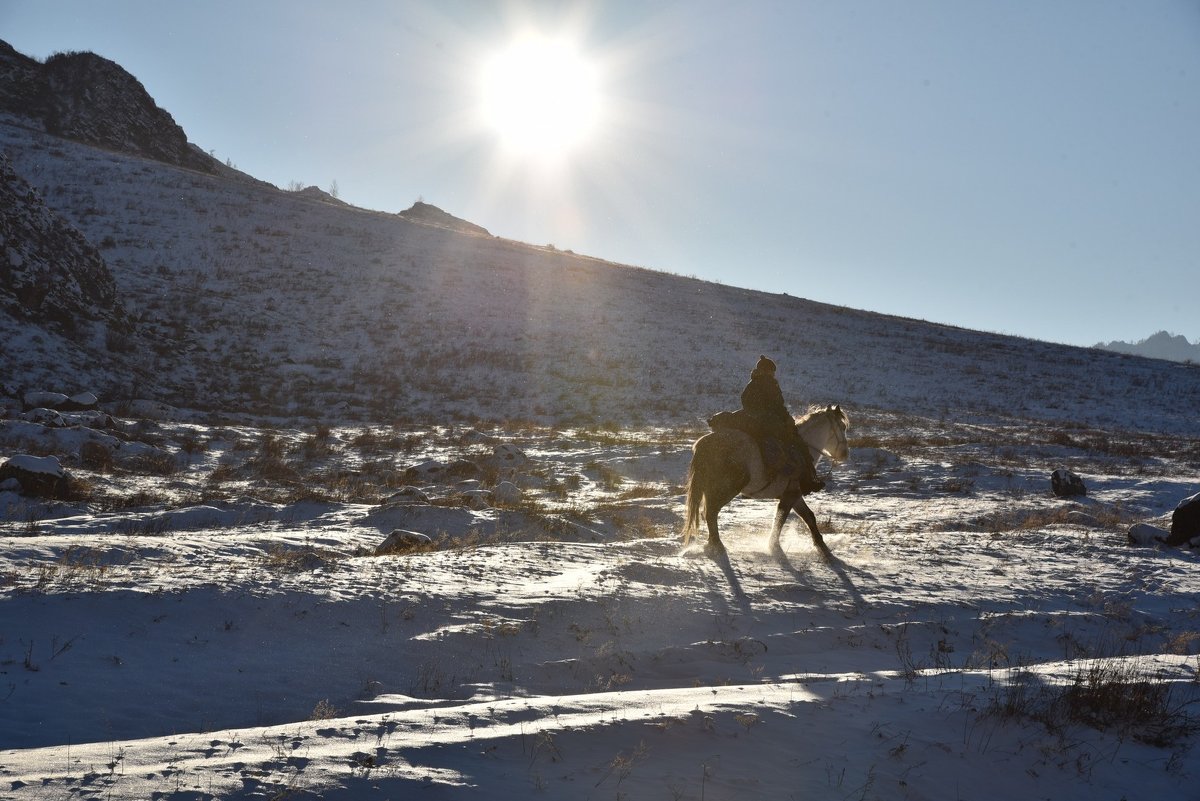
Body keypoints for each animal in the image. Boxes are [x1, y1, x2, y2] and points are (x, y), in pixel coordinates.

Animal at [686, 407, 854, 556]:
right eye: (842, 427)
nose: (845, 454)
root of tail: (706, 442)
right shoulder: (789, 496)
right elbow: (780, 519)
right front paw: (774, 546)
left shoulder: (794, 495)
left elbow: (809, 517)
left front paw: (821, 546)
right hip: (727, 489)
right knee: (711, 512)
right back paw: (718, 545)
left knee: (707, 512)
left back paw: (711, 543)